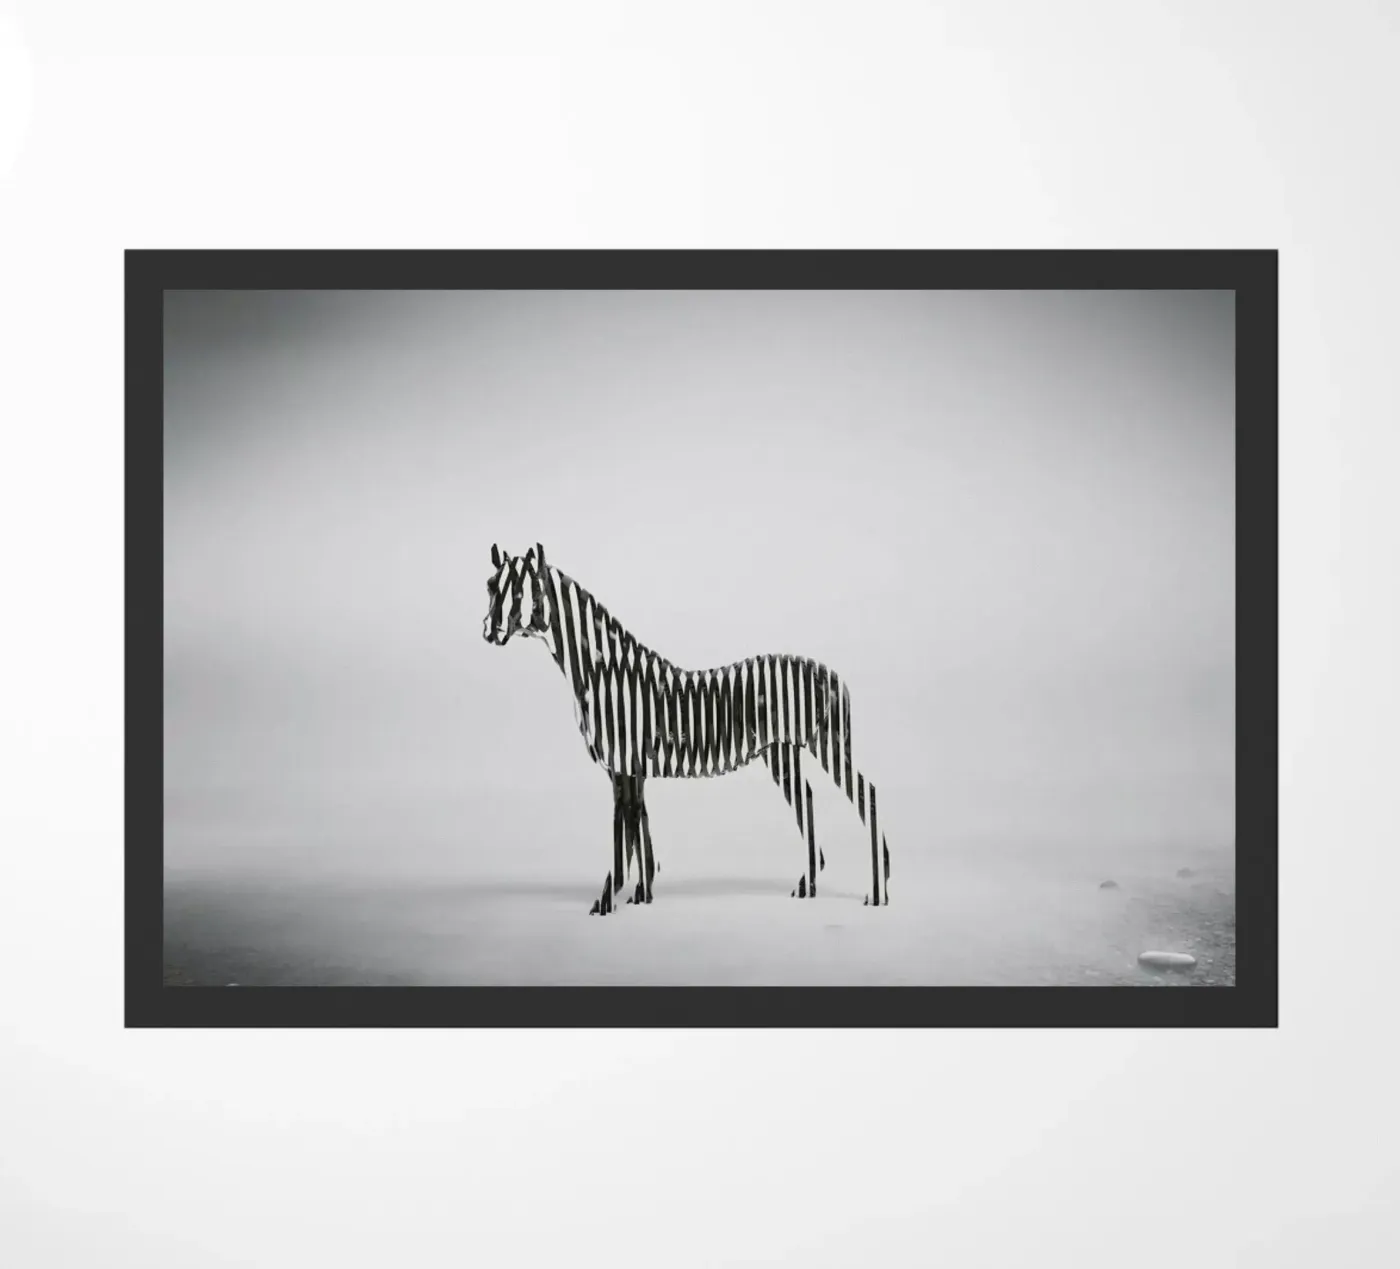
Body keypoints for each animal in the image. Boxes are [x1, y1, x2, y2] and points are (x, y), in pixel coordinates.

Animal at [481, 542, 891, 916]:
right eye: (489, 586)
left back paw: (878, 891)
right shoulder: (630, 767)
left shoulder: (624, 762)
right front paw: (642, 894)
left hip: (826, 743)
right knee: (807, 799)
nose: (489, 631)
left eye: (523, 592)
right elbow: (639, 829)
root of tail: (833, 674)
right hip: (782, 752)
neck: (606, 673)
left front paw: (607, 900)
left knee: (866, 794)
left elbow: (624, 833)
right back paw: (808, 885)